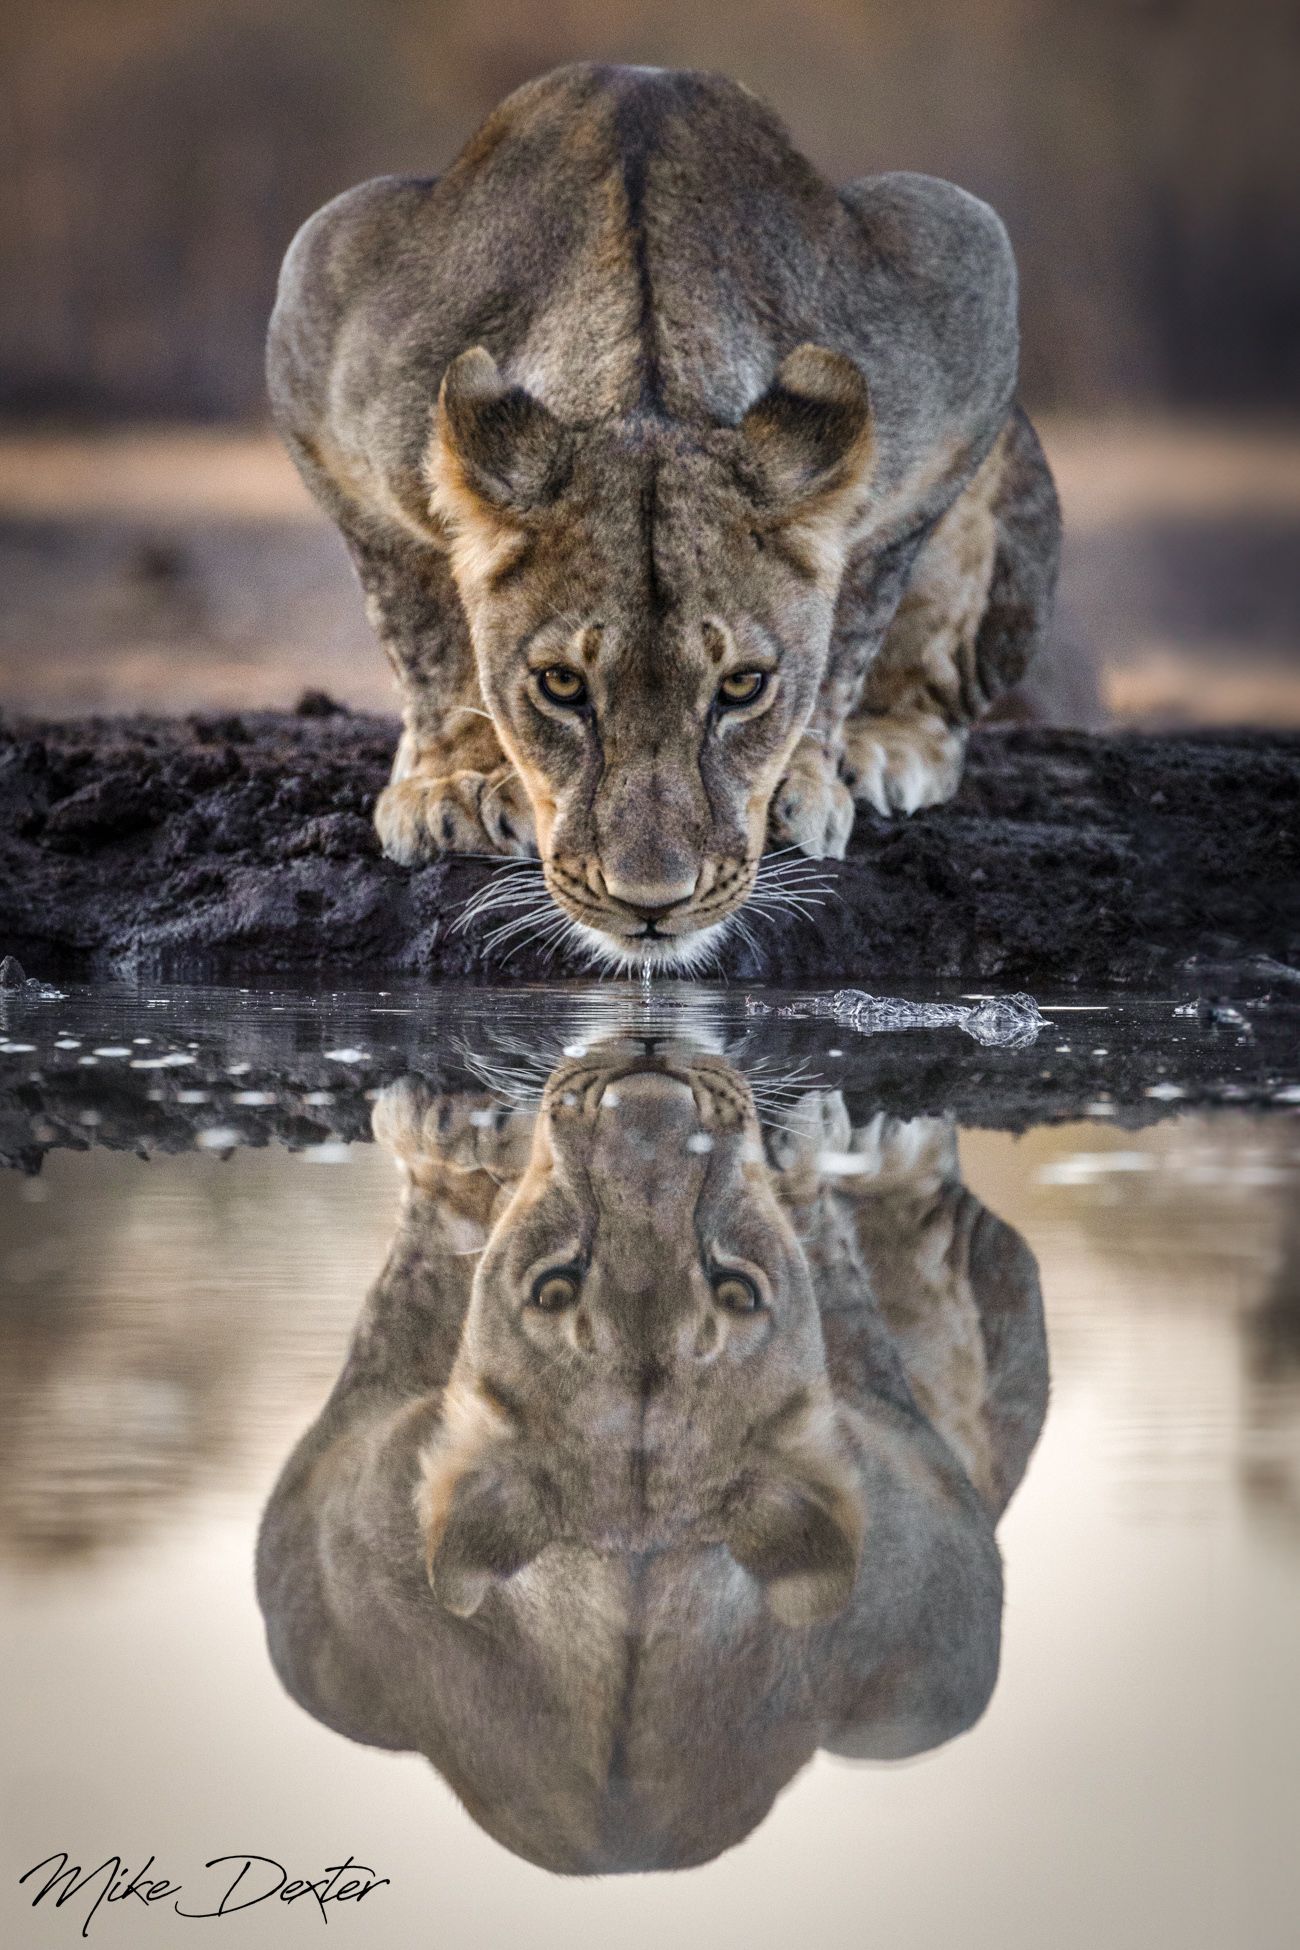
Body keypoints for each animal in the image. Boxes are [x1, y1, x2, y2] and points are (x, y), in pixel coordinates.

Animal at [267, 62, 1060, 969]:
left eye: (744, 686)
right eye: (561, 685)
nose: (651, 905)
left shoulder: (961, 288)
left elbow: (857, 611)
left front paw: (802, 778)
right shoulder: (321, 320)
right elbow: (421, 621)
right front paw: (457, 785)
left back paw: (889, 745)